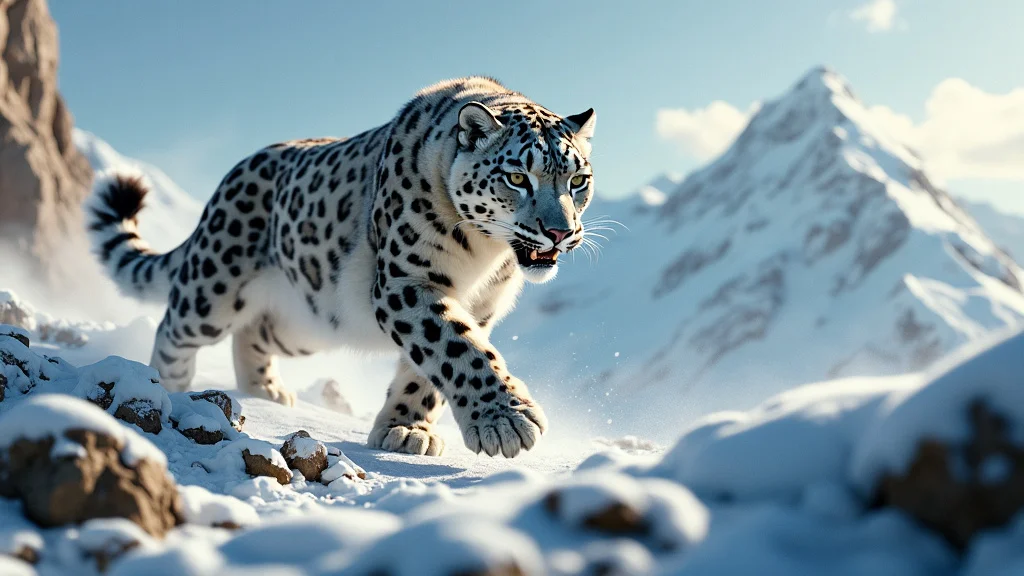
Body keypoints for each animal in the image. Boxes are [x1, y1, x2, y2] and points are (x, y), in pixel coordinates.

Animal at [86, 76, 597, 458]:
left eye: (578, 180)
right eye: (517, 176)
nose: (560, 232)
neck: (484, 256)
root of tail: (231, 174)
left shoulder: (480, 307)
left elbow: (431, 367)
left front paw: (406, 430)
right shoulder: (407, 281)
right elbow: (455, 348)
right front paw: (508, 421)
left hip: (304, 322)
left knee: (253, 331)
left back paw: (266, 390)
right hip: (212, 287)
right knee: (175, 327)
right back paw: (166, 386)